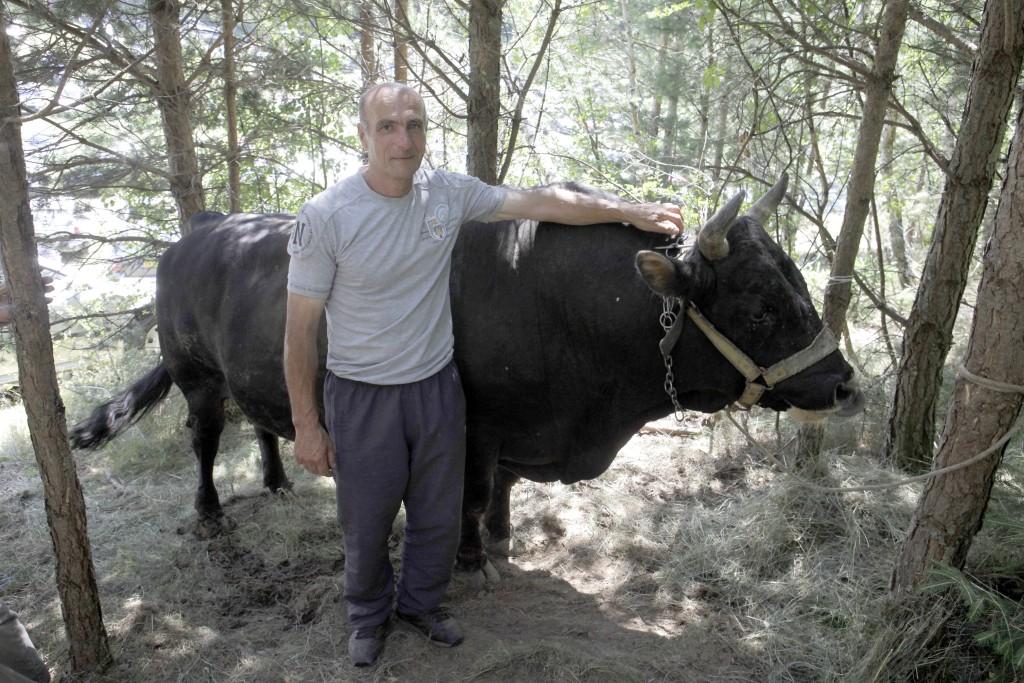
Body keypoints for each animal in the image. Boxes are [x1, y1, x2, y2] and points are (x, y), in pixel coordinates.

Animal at [68, 180, 860, 573]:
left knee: (262, 416)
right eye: (760, 305)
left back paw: (278, 480)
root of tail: (206, 225)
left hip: (247, 370)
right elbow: (471, 497)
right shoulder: (475, 423)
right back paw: (209, 512)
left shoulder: (514, 429)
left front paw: (505, 541)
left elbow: (502, 489)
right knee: (204, 436)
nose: (846, 386)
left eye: (797, 280)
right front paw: (471, 556)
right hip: (194, 370)